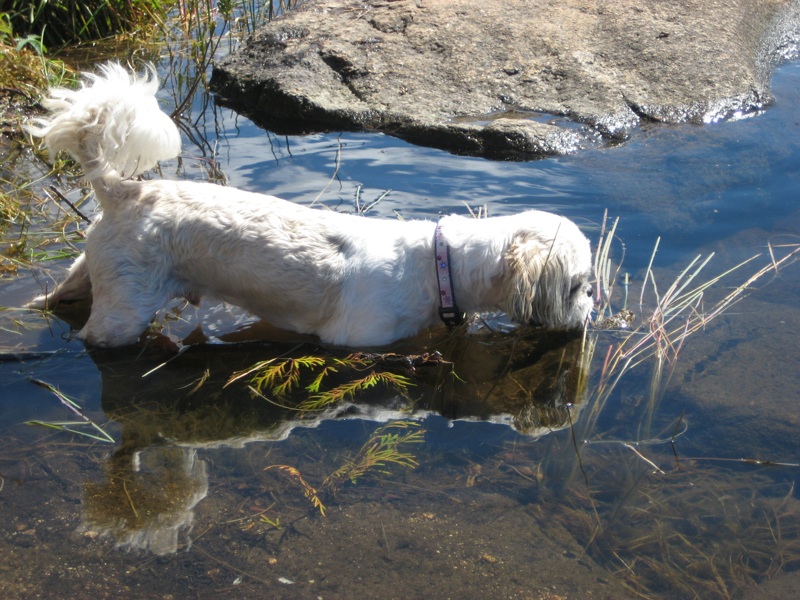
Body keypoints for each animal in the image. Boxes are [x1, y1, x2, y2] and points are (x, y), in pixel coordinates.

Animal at [26, 62, 592, 346]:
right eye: (577, 286)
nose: (590, 313)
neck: (439, 266)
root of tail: (123, 188)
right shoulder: (360, 340)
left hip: (92, 271)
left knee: (57, 299)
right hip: (124, 307)